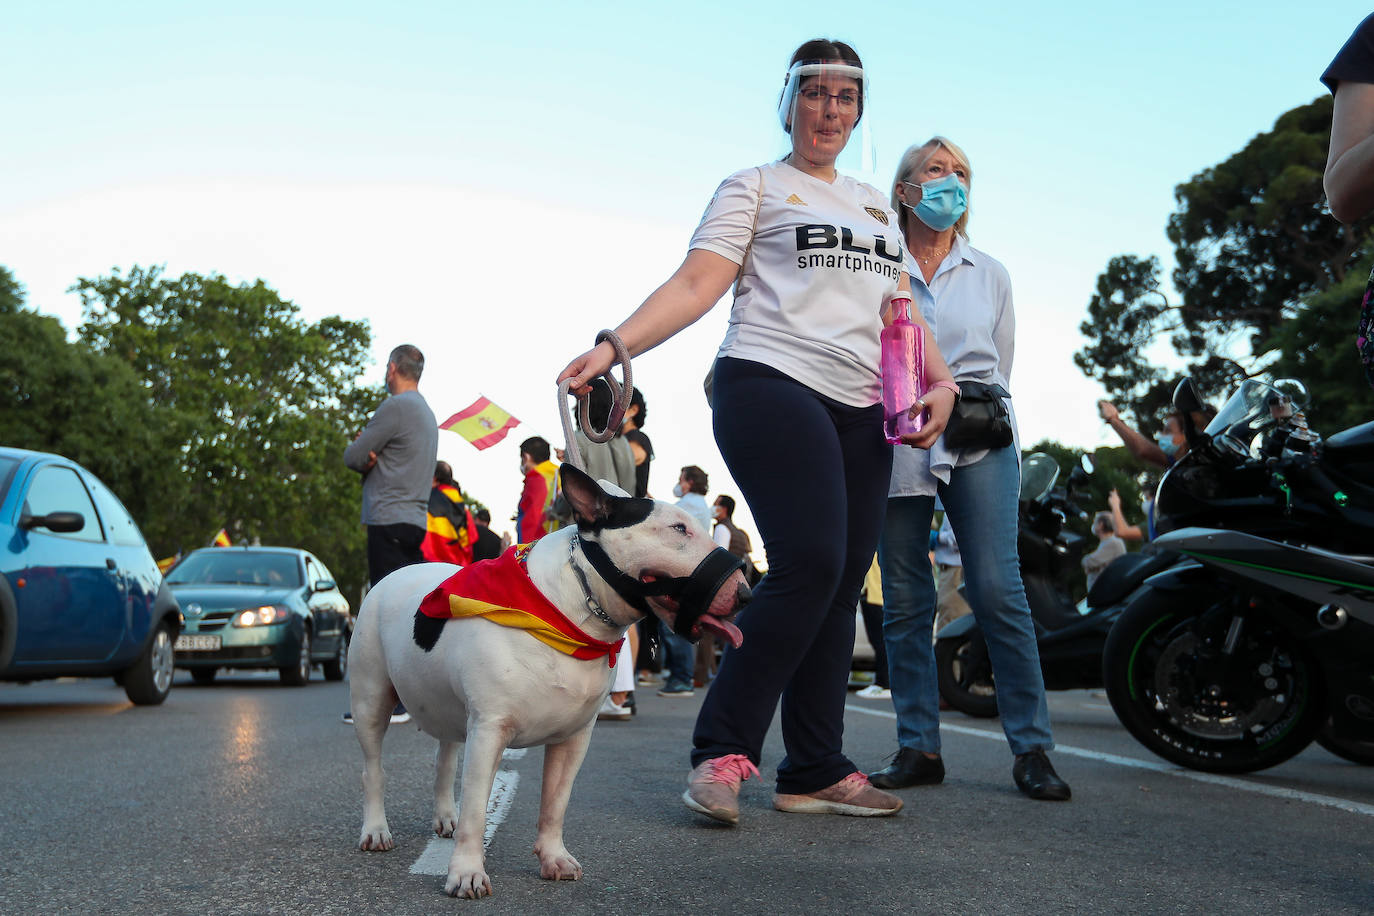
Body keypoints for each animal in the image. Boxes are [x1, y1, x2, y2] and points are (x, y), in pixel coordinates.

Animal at [343, 466, 752, 900]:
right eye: (678, 528)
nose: (745, 594)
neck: (566, 611)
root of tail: (394, 575)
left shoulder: (573, 738)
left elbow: (556, 802)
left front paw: (554, 858)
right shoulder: (489, 730)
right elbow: (476, 810)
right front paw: (466, 873)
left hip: (445, 704)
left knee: (444, 759)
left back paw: (444, 817)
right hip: (371, 699)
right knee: (373, 769)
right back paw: (376, 830)